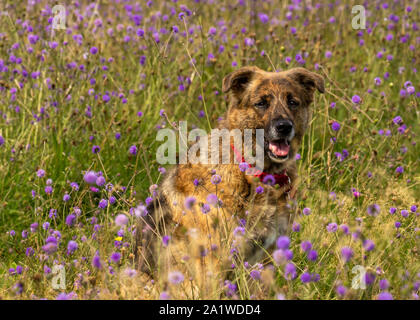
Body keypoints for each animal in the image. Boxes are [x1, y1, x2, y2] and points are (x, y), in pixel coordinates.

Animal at [135, 66, 324, 296]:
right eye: (261, 103)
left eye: (293, 102)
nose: (284, 127)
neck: (256, 176)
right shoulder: (214, 260)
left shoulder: (265, 259)